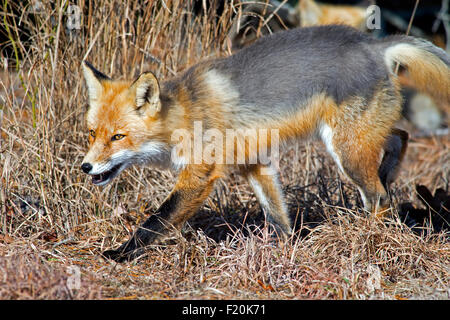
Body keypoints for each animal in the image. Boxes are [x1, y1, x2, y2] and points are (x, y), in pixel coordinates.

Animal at [81, 24, 450, 260]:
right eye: (93, 133)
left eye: (118, 136)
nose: (85, 167)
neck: (185, 114)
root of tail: (373, 43)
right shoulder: (254, 162)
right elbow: (277, 214)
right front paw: (284, 249)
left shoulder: (200, 174)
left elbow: (155, 221)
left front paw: (120, 254)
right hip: (360, 136)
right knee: (400, 137)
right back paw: (388, 173)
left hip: (346, 151)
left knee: (377, 196)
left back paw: (370, 237)